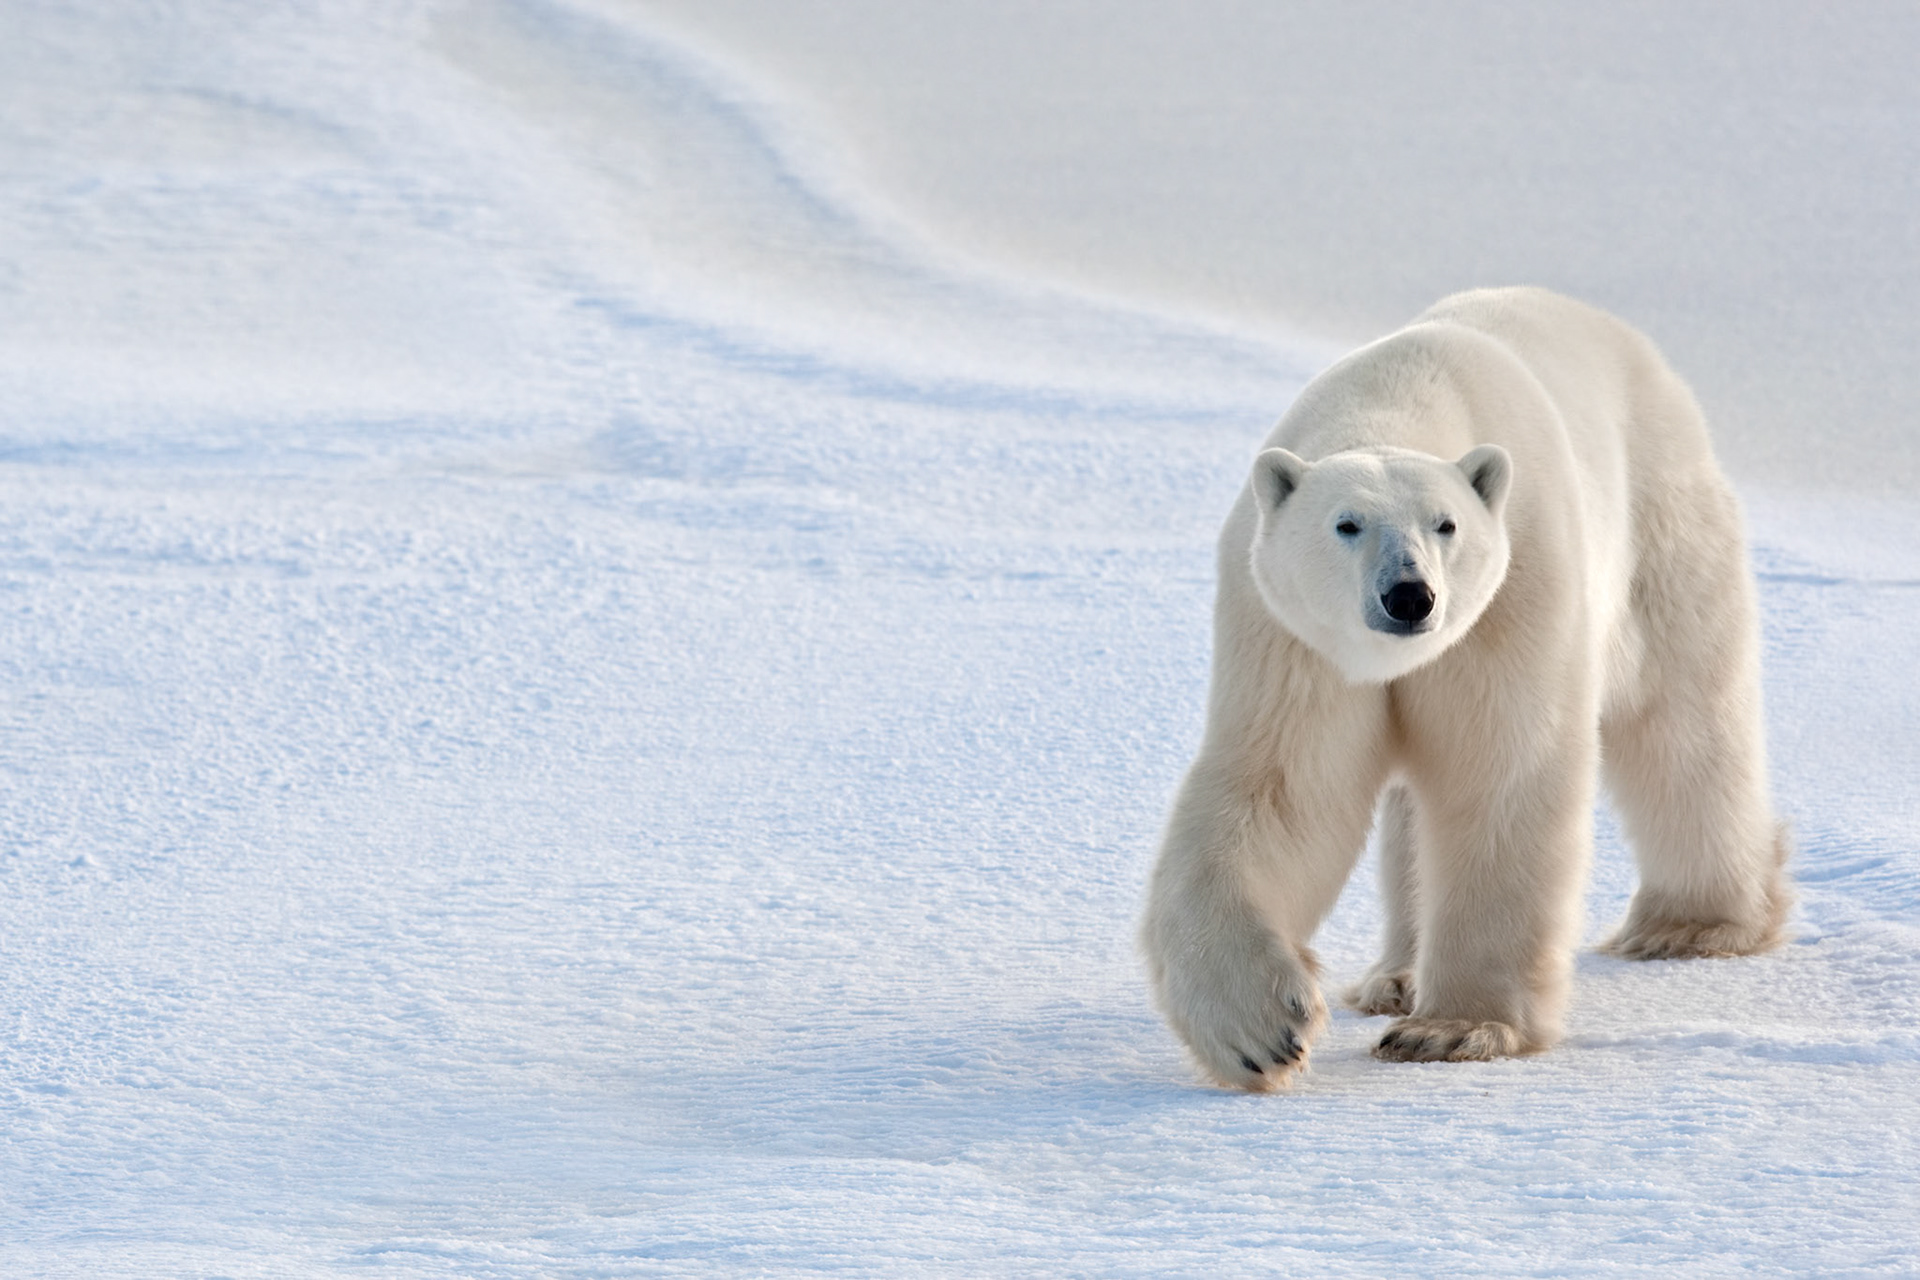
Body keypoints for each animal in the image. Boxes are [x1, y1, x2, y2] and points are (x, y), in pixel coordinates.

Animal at [1140, 286, 1791, 1091]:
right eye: (1345, 524)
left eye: (1445, 524)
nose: (1409, 596)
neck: (1399, 394)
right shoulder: (1292, 635)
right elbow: (1282, 786)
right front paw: (1263, 1030)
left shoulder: (1516, 590)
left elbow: (1500, 772)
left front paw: (1455, 1029)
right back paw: (1393, 977)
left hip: (1660, 526)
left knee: (1683, 723)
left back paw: (1691, 924)